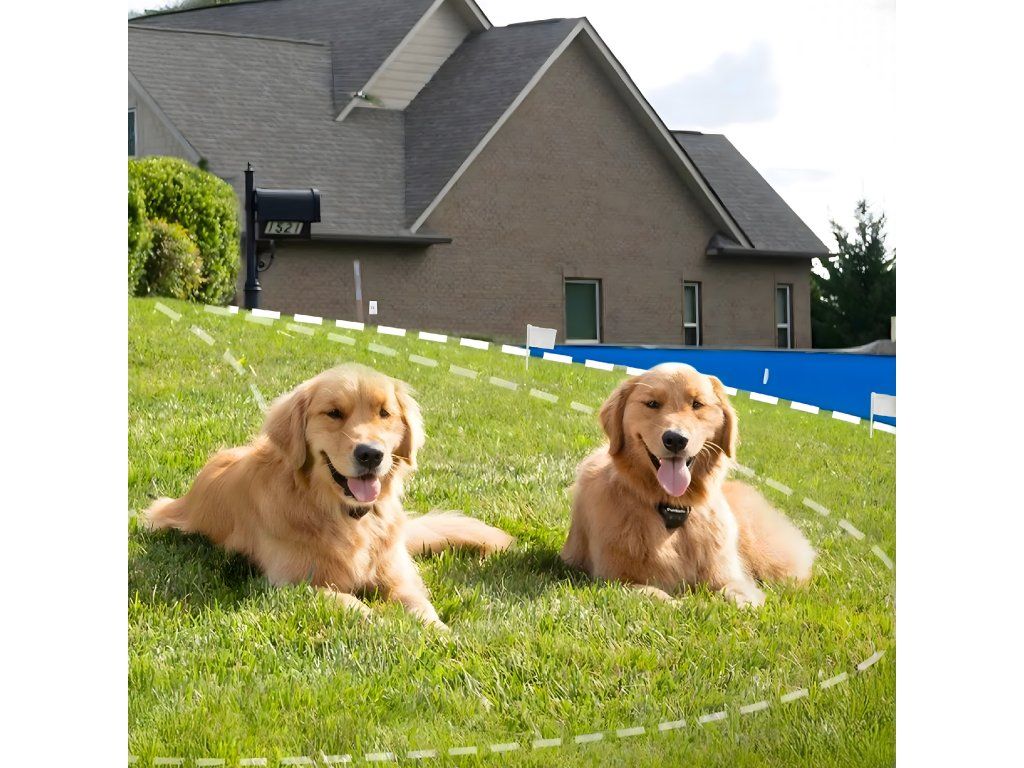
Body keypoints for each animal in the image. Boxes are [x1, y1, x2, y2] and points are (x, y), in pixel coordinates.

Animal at [144, 364, 512, 630]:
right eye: (333, 413)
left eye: (384, 413)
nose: (370, 454)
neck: (346, 515)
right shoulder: (293, 582)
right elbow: (353, 604)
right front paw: (384, 626)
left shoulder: (397, 575)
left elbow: (420, 606)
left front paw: (440, 634)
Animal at [561, 363, 814, 607]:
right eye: (652, 404)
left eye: (697, 404)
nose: (675, 439)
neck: (672, 508)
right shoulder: (612, 578)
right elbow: (654, 594)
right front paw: (682, 604)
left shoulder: (728, 574)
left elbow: (736, 591)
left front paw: (737, 603)